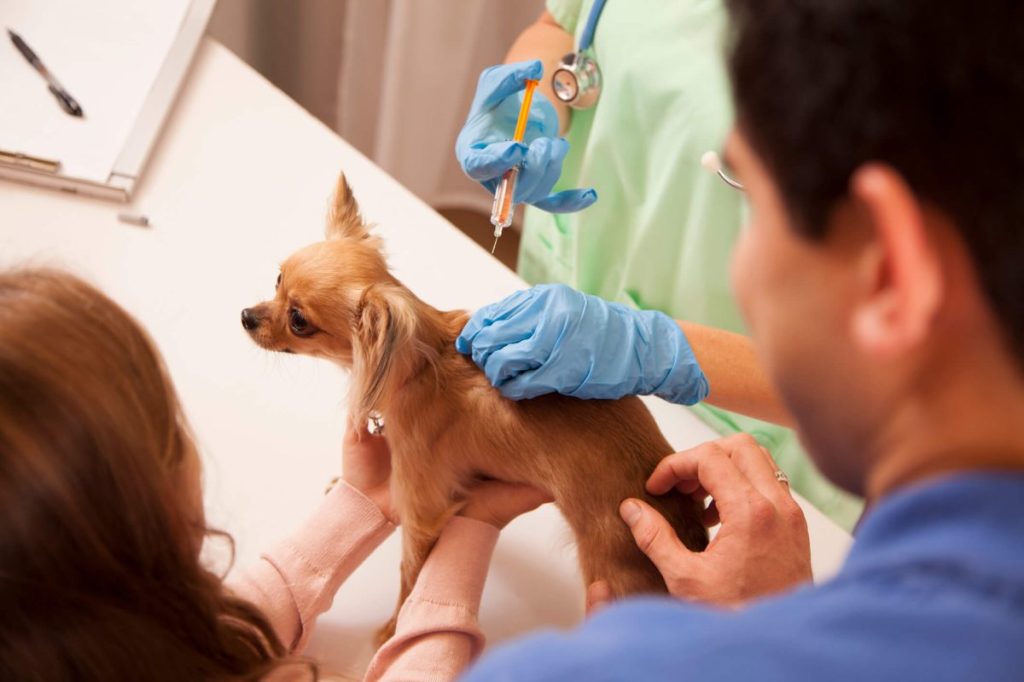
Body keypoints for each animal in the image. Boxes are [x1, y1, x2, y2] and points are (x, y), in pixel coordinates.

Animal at [241, 173, 704, 638]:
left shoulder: (423, 512)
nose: (245, 316)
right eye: (277, 280)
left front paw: (393, 630)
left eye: (299, 321)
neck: (415, 370)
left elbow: (410, 577)